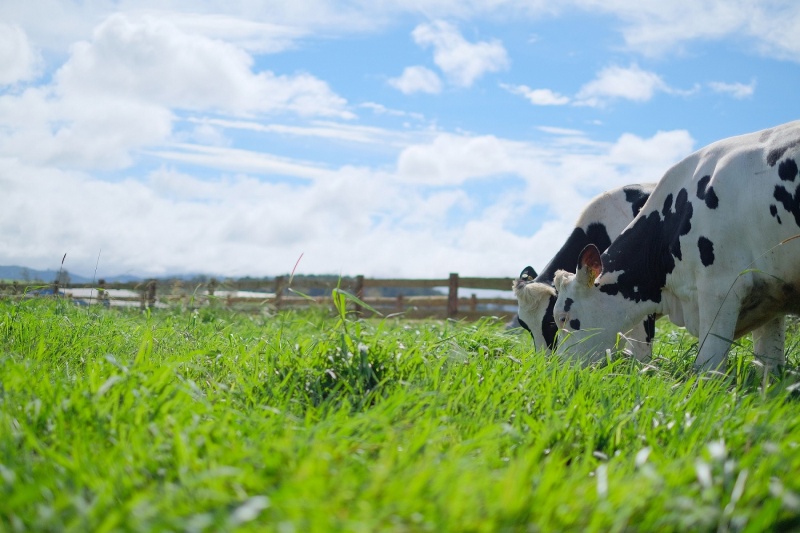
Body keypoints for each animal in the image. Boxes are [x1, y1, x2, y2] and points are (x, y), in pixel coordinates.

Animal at [552, 119, 800, 374]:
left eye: (562, 317)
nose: (556, 368)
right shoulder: (771, 293)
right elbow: (770, 366)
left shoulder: (720, 287)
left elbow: (707, 367)